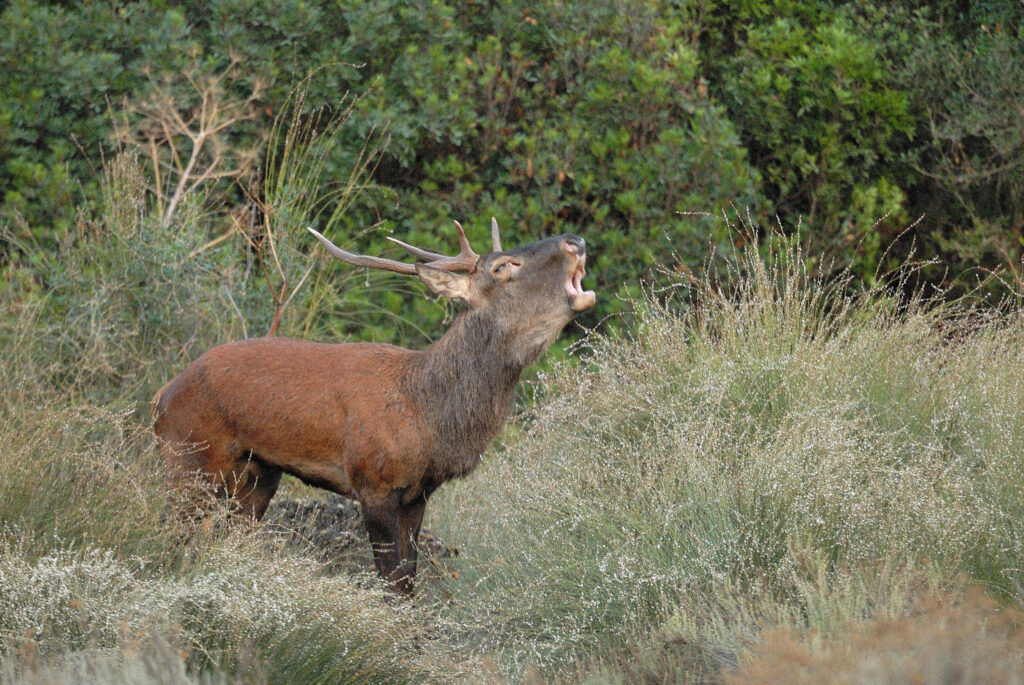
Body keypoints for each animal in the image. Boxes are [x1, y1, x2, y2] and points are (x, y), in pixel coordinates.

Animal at [152, 218, 595, 594]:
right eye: (503, 266)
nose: (576, 240)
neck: (429, 417)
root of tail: (161, 396)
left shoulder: (417, 495)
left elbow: (409, 581)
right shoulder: (373, 481)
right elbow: (391, 582)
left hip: (259, 473)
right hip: (188, 461)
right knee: (171, 535)